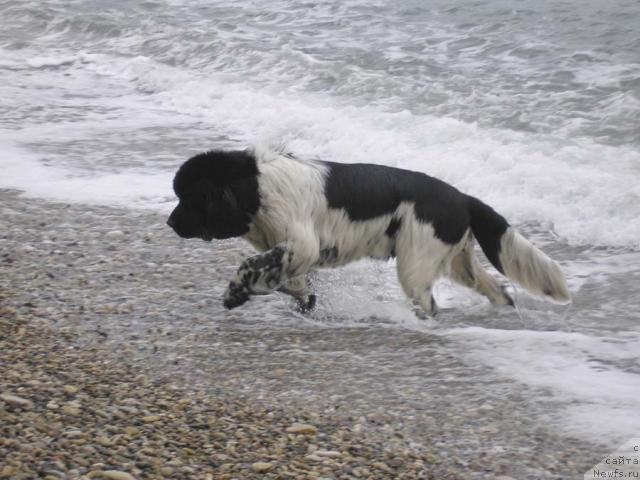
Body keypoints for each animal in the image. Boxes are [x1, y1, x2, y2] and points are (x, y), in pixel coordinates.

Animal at [166, 146, 568, 318]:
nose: (170, 223)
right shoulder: (294, 253)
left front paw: (237, 292)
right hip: (457, 262)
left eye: (188, 197)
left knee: (430, 304)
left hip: (415, 265)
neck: (256, 185)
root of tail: (462, 198)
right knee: (498, 291)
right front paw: (299, 300)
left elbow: (255, 266)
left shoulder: (301, 244)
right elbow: (290, 282)